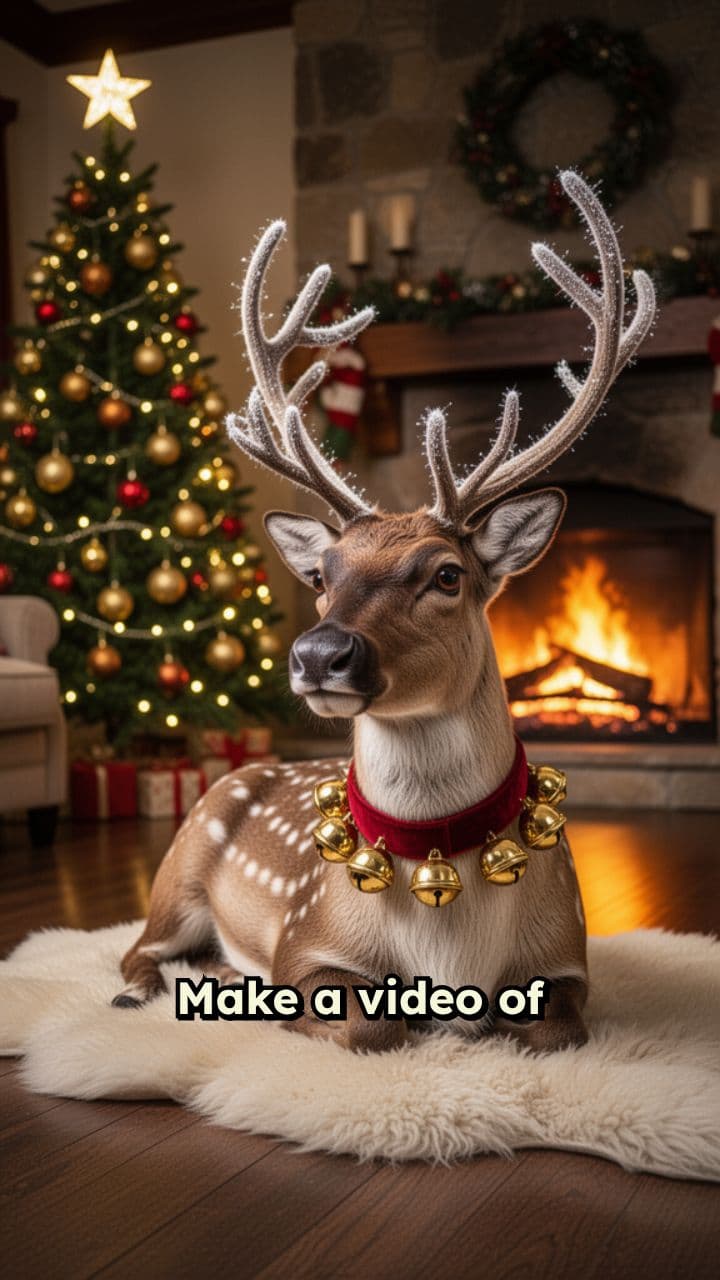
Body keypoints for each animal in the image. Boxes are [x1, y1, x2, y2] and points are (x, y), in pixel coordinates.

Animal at [113, 172, 656, 1054]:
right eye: (322, 574)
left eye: (446, 575)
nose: (318, 654)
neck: (451, 946)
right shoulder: (305, 944)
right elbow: (371, 1022)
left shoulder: (567, 958)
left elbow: (553, 1029)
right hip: (179, 864)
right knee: (135, 947)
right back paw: (159, 988)